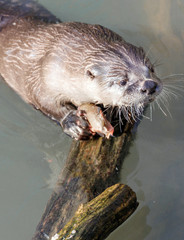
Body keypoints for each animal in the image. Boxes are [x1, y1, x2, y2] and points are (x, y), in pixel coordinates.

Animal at [0, 15, 162, 140]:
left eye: (151, 69)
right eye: (122, 81)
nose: (150, 86)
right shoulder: (40, 76)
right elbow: (43, 101)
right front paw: (73, 123)